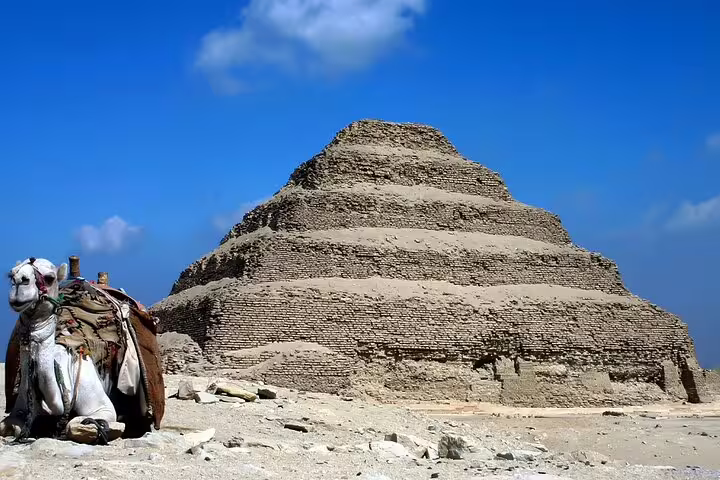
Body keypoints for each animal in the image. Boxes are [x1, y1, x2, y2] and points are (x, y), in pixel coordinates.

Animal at [1, 257, 165, 443]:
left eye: (50, 278)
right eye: (11, 274)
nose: (19, 282)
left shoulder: (102, 407)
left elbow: (74, 425)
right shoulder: (19, 409)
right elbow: (9, 426)